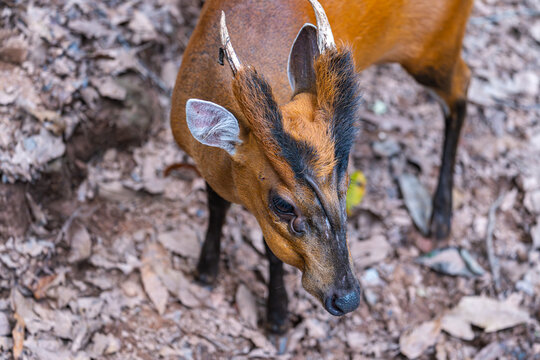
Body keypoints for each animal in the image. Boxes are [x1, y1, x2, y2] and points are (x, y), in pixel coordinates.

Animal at [169, 0, 472, 334]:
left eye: (345, 184)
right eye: (283, 205)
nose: (347, 299)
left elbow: (270, 249)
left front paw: (278, 318)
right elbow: (216, 206)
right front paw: (206, 270)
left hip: (435, 48)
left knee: (462, 85)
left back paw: (441, 219)